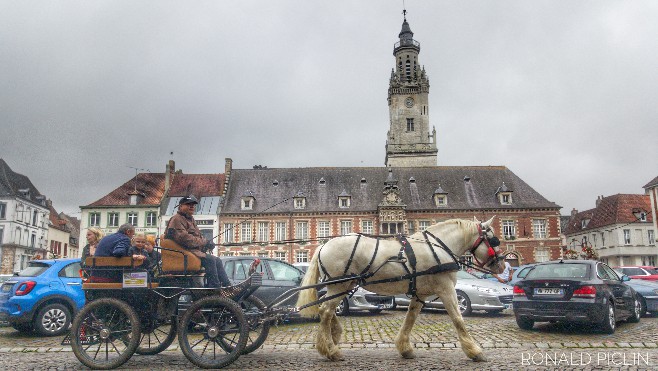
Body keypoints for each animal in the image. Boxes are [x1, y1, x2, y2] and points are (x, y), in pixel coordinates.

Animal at [294, 218, 504, 364]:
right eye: (494, 240)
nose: (501, 265)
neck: (438, 247)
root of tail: (324, 245)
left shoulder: (421, 293)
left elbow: (410, 318)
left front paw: (405, 348)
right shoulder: (446, 289)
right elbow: (458, 319)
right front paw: (475, 351)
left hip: (341, 286)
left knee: (326, 309)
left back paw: (334, 335)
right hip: (340, 285)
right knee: (325, 311)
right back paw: (330, 350)